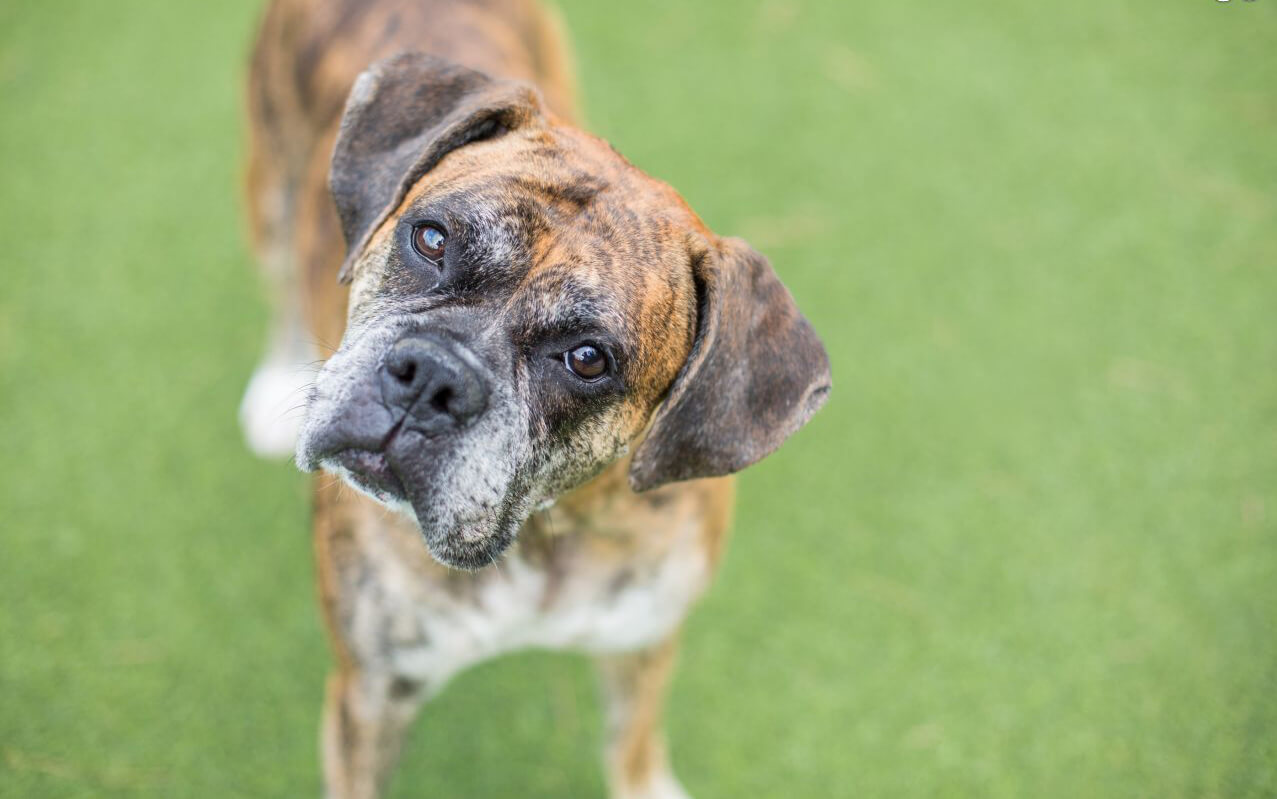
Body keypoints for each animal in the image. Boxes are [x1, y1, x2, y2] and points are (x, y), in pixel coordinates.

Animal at [240, 3, 832, 791]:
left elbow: (633, 740)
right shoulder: (370, 695)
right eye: (430, 238)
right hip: (266, 183)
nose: (433, 377)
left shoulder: (643, 640)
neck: (542, 533)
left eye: (587, 359)